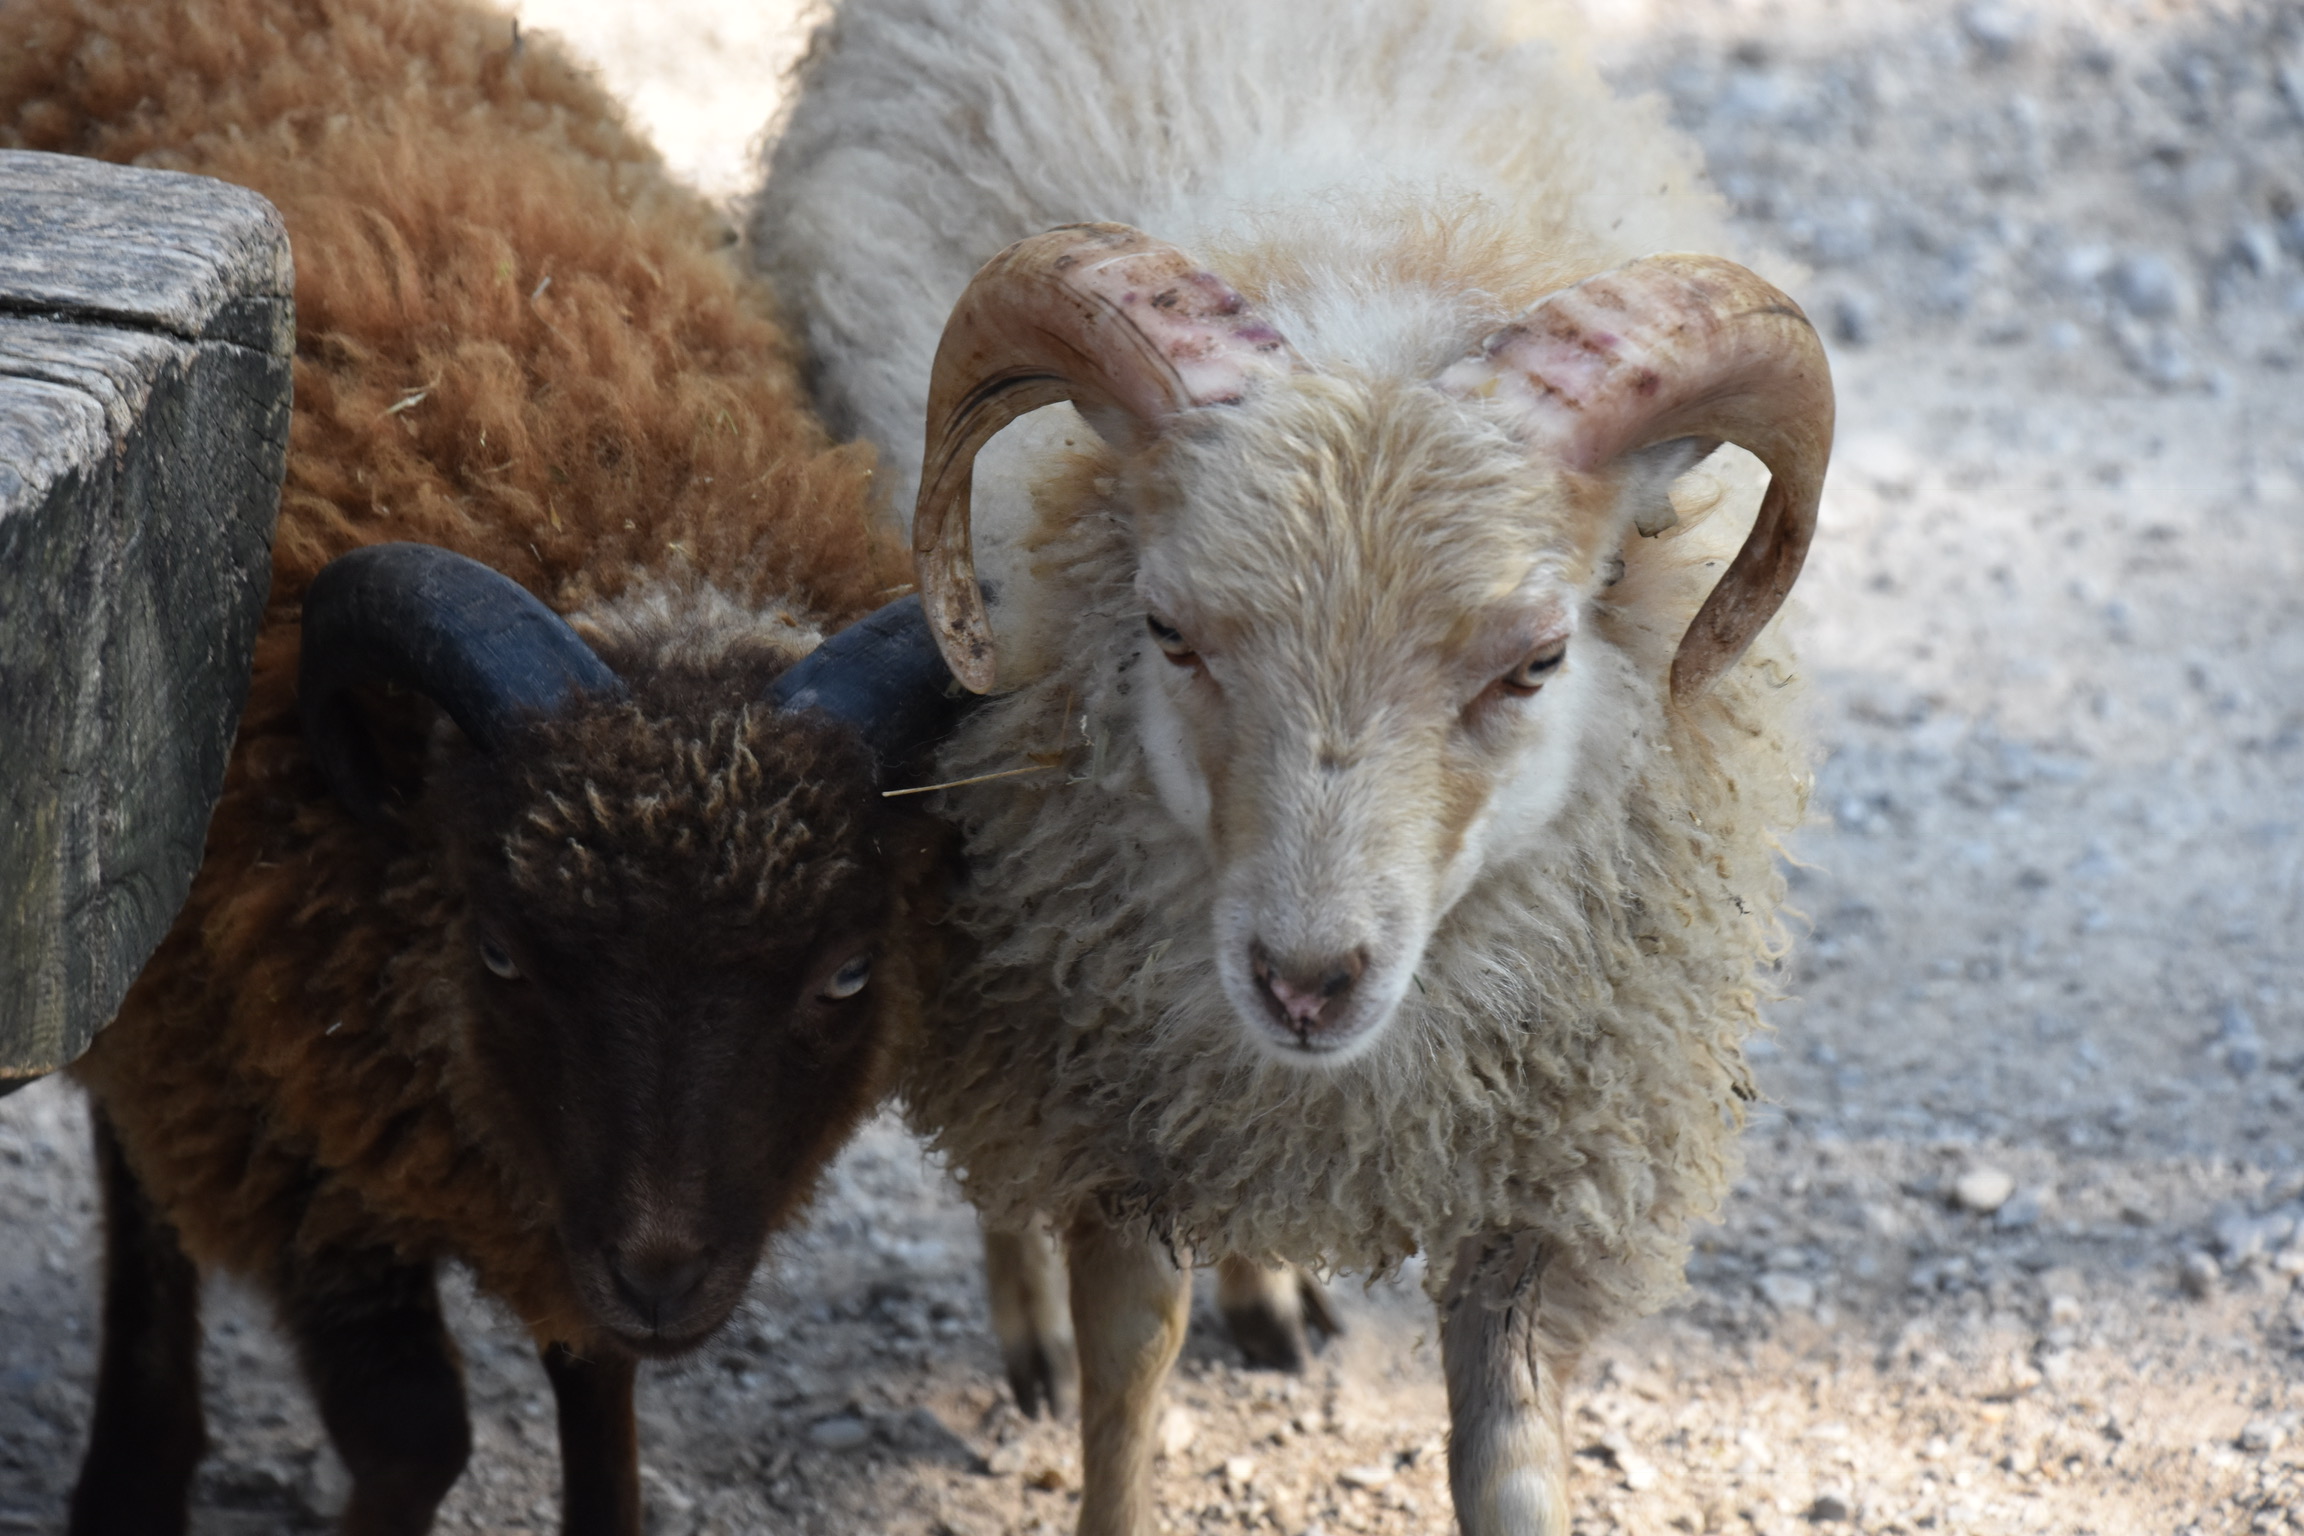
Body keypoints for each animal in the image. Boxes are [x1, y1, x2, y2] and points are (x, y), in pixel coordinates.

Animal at [0, 0, 969, 1531]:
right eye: (505, 954)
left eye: (847, 975)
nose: (662, 1272)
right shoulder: (283, 1133)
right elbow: (414, 1437)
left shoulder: (556, 1208)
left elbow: (601, 1397)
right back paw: (133, 1469)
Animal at [753, 1, 1833, 1530]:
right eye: (1169, 630)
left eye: (1535, 660)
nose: (1306, 981)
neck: (1366, 274)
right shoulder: (1114, 1100)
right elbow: (1128, 1373)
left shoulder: (1540, 1190)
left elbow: (1506, 1457)